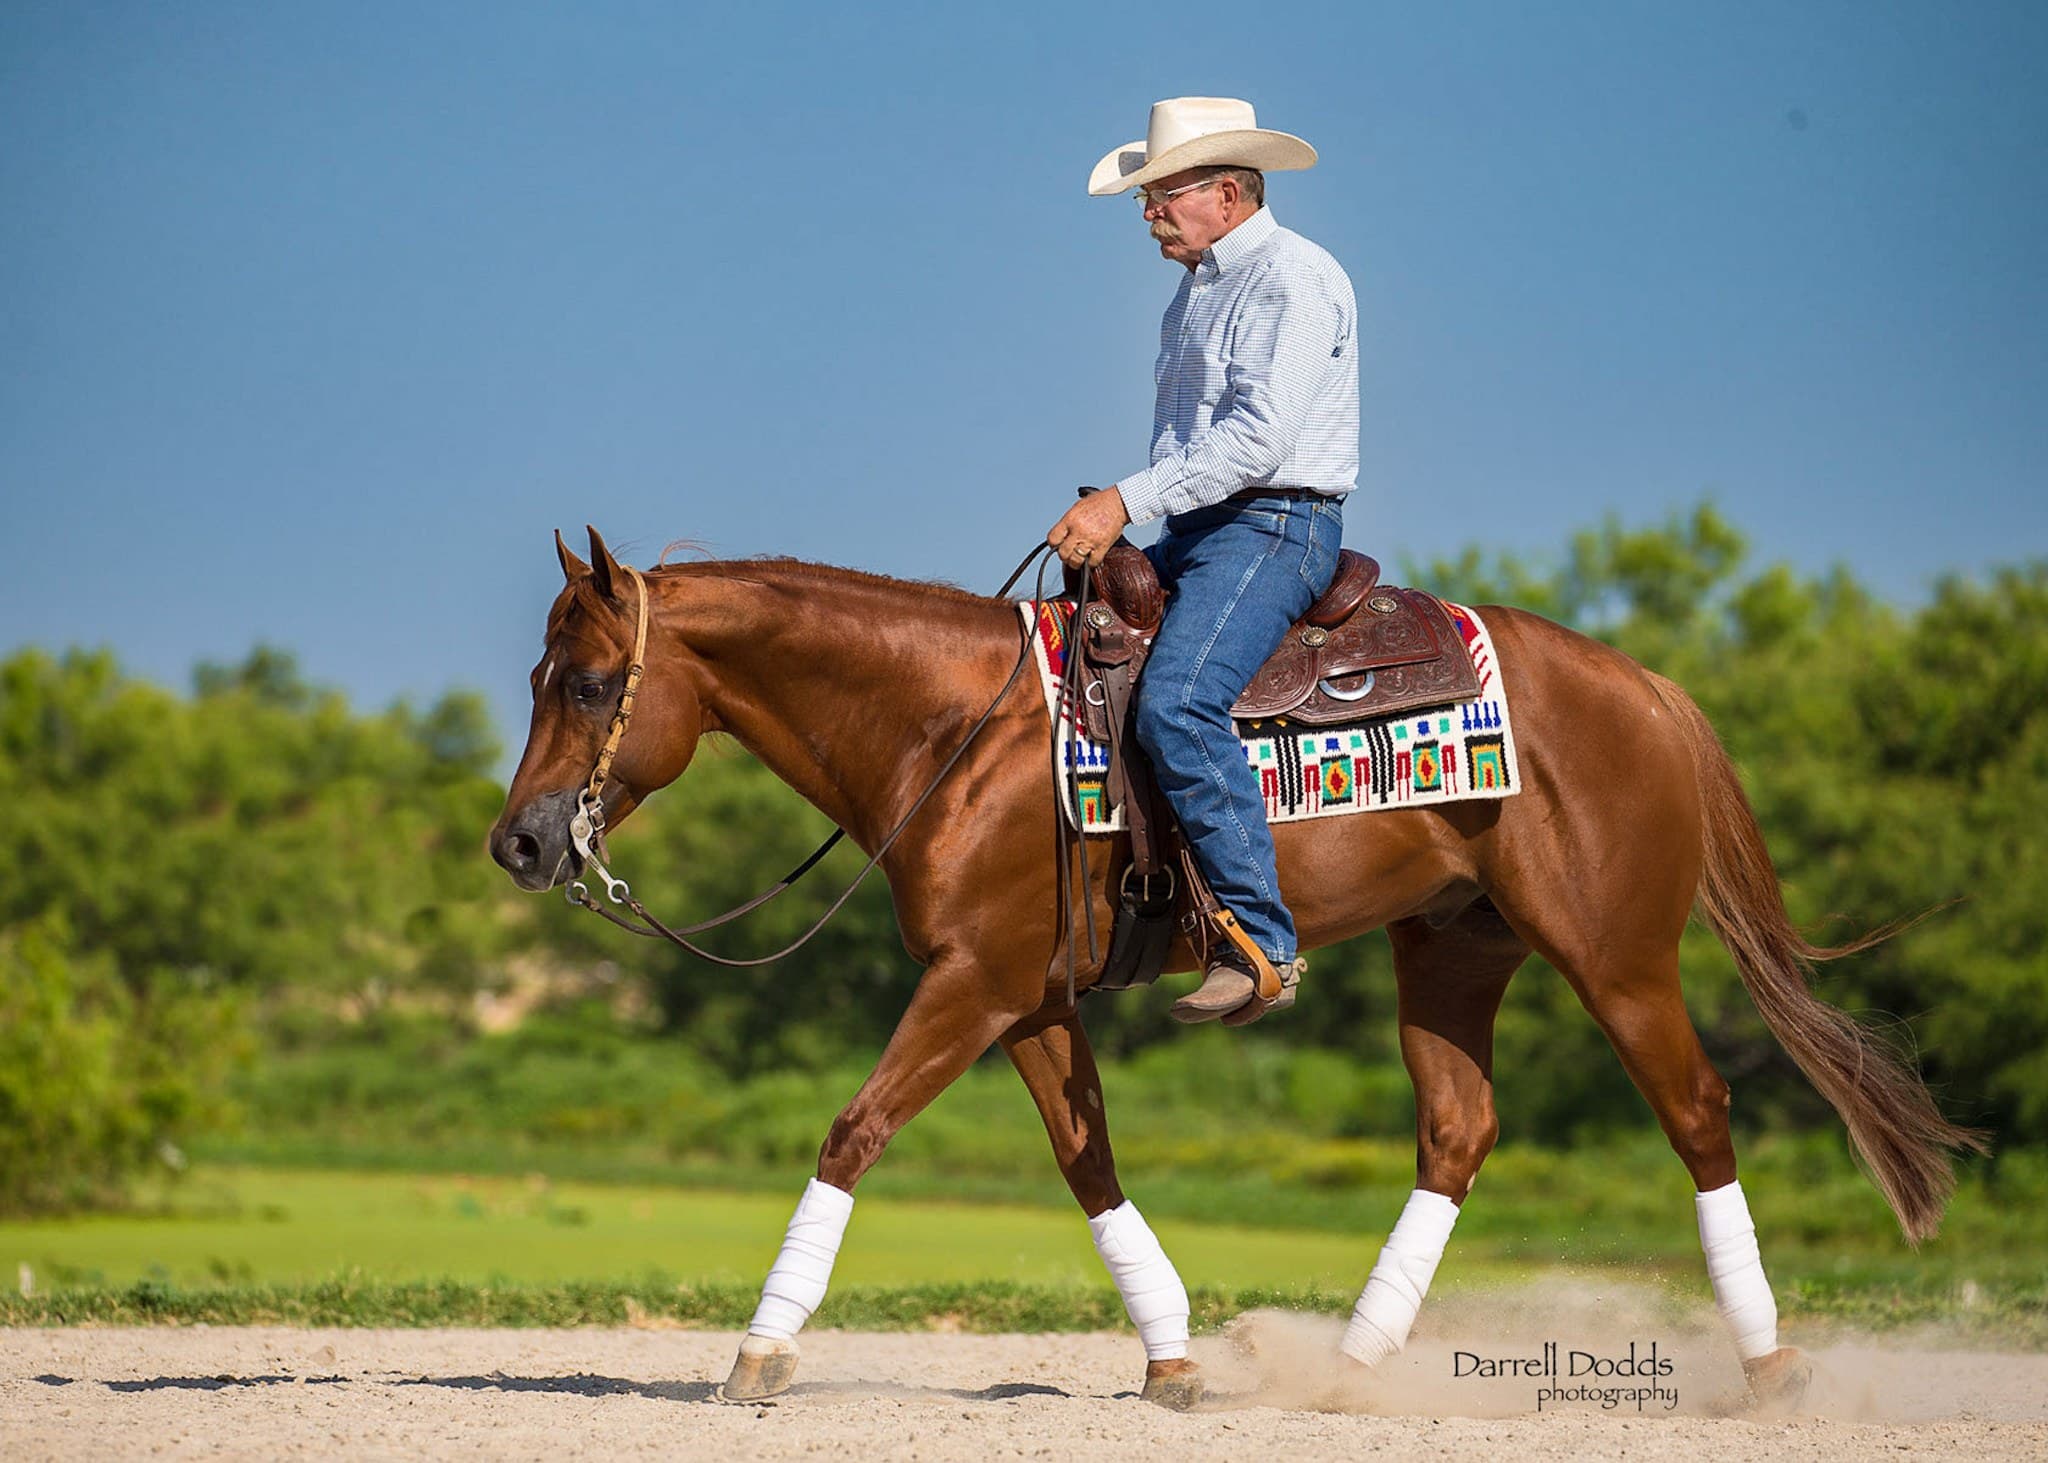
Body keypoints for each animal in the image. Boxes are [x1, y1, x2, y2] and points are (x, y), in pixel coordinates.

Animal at [490, 527, 1980, 1410]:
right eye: (537, 672)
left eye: (587, 680)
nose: (518, 840)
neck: (953, 729)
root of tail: (1649, 689)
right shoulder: (1027, 995)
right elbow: (1088, 1163)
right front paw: (1171, 1354)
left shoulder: (972, 984)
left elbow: (852, 1129)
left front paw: (758, 1348)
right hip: (1452, 949)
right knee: (1457, 1129)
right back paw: (1350, 1367)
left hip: (1615, 959)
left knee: (1696, 1113)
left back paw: (1772, 1363)